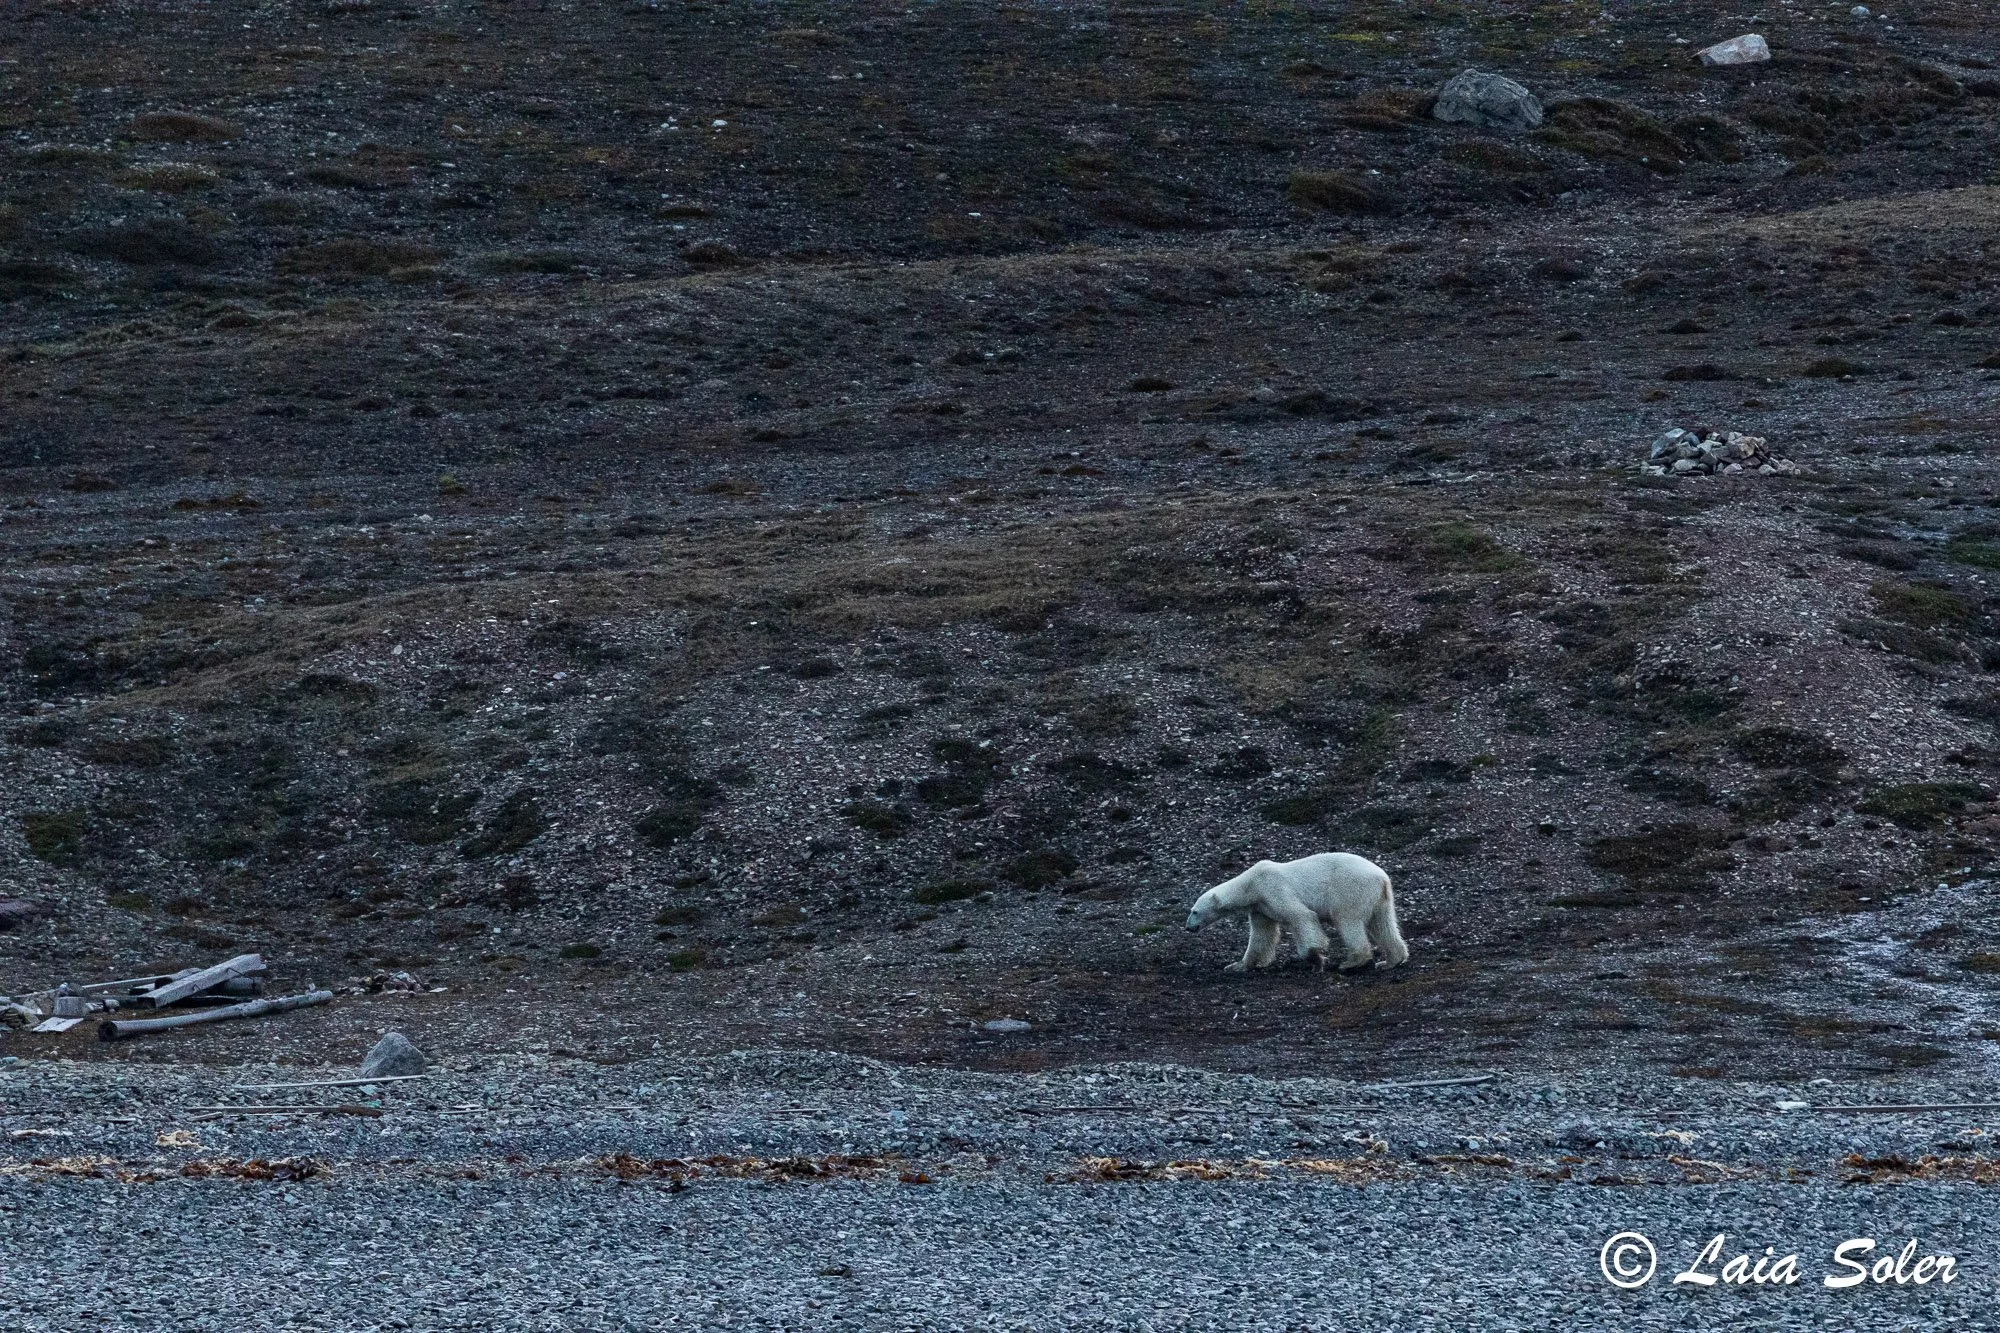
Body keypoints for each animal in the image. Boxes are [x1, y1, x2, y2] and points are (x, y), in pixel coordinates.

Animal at [1185, 852, 1408, 973]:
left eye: (1195, 911)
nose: (1188, 927)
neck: (1251, 885)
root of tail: (1382, 877)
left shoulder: (1272, 888)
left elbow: (1301, 916)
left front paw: (1315, 959)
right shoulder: (1260, 907)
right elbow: (1261, 936)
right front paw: (1238, 965)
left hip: (1350, 889)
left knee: (1347, 920)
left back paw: (1351, 962)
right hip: (1379, 898)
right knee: (1383, 924)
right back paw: (1390, 961)